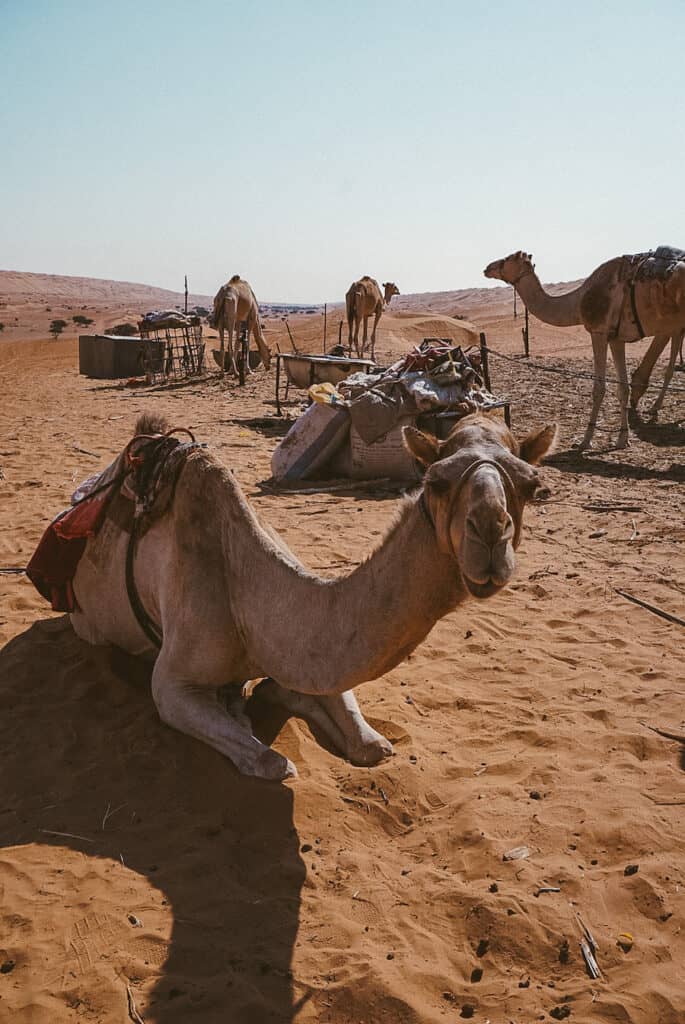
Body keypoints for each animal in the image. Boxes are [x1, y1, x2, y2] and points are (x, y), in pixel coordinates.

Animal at [60, 411, 557, 778]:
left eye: (532, 486)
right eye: (435, 481)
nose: (489, 533)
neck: (249, 595)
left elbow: (371, 742)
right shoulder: (171, 682)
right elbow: (271, 761)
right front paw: (250, 720)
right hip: (87, 623)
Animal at [481, 247, 683, 448]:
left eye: (507, 259)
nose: (487, 268)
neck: (578, 302)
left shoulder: (598, 331)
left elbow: (599, 389)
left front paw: (585, 440)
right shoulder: (616, 338)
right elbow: (623, 388)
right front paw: (622, 439)